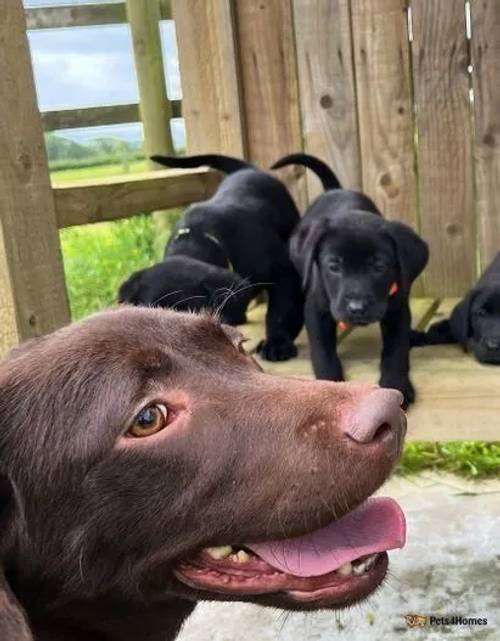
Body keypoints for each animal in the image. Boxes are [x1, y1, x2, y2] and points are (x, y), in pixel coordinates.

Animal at [274, 153, 430, 404]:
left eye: (379, 267)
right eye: (334, 266)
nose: (357, 308)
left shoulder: (397, 310)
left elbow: (396, 350)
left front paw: (396, 386)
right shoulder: (316, 310)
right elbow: (323, 353)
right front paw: (330, 387)